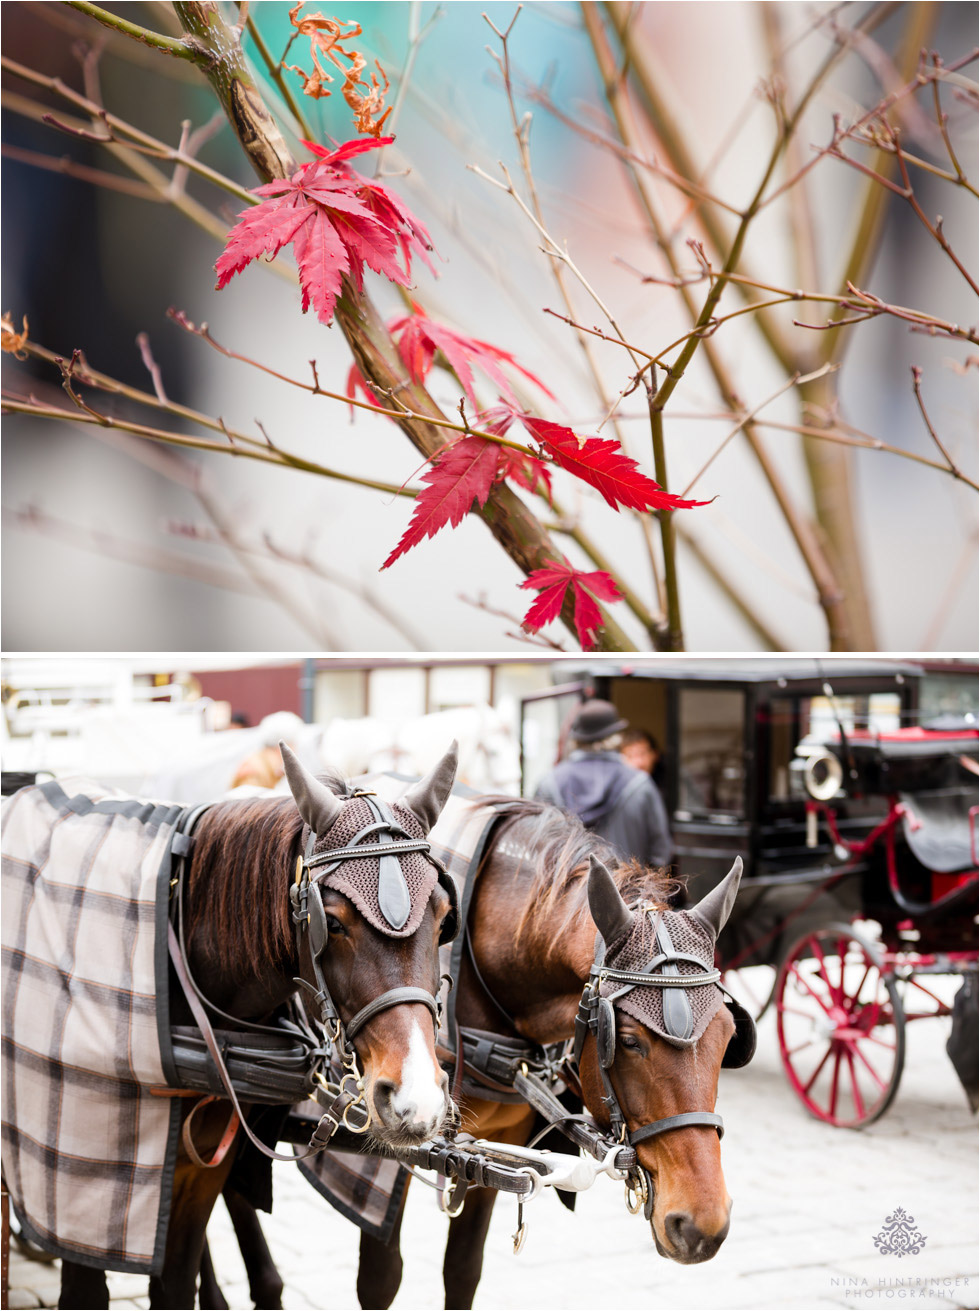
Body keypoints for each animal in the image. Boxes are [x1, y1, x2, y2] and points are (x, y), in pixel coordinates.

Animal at [54, 744, 463, 1305]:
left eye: (444, 916)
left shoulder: (199, 1172)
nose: (415, 1100)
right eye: (334, 923)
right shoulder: (83, 1183)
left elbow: (176, 1283)